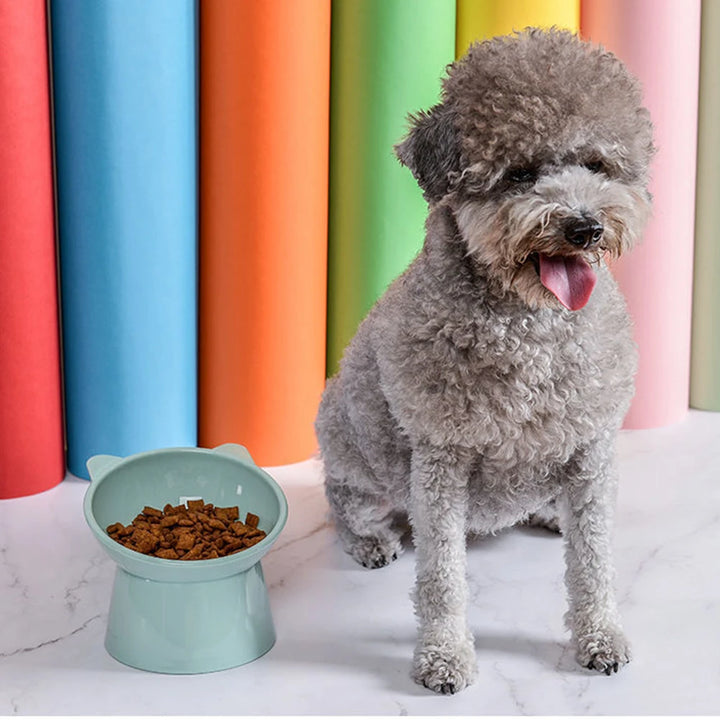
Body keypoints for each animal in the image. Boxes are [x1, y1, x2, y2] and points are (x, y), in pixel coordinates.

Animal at [316, 26, 652, 692]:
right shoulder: (440, 462)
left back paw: (547, 512)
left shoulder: (592, 447)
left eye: (596, 165)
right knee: (344, 502)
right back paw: (370, 541)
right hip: (353, 450)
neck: (530, 330)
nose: (585, 226)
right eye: (519, 173)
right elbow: (442, 578)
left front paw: (600, 635)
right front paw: (443, 656)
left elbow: (594, 559)